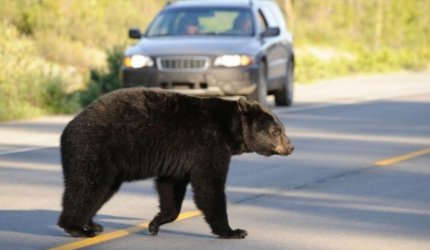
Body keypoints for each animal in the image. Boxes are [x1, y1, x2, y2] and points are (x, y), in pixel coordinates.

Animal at [58, 87, 292, 238]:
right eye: (277, 130)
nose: (291, 146)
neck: (230, 129)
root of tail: (66, 130)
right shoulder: (208, 145)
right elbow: (209, 186)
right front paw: (233, 231)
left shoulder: (179, 159)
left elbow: (170, 188)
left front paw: (155, 223)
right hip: (94, 150)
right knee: (87, 187)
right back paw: (76, 227)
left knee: (101, 190)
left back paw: (92, 225)